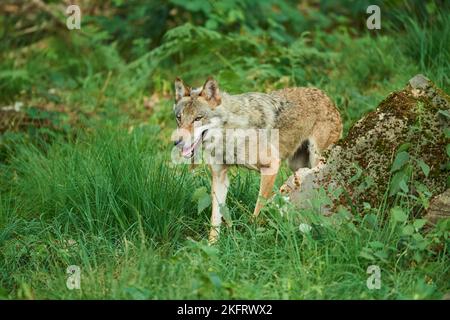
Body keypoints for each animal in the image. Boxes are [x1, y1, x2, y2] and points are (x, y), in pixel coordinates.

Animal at [171, 77, 342, 242]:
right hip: (298, 168)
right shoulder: (220, 177)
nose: (177, 141)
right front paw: (211, 245)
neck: (230, 133)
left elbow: (258, 207)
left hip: (316, 163)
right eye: (179, 118)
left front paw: (252, 236)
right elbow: (216, 218)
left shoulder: (271, 166)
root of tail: (327, 97)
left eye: (198, 118)